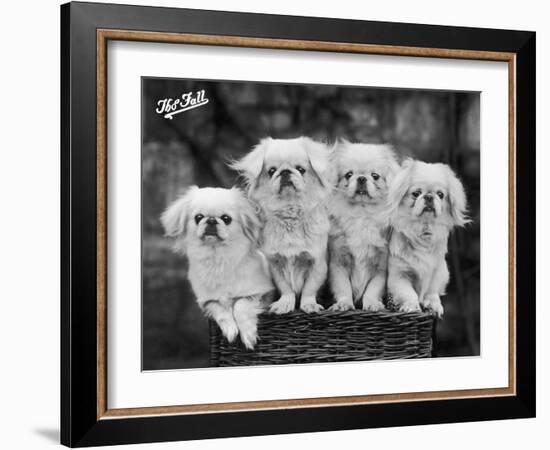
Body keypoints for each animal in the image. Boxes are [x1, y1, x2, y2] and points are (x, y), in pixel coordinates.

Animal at [163, 185, 276, 348]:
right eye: (198, 217)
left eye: (226, 219)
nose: (211, 220)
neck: (217, 258)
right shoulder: (207, 301)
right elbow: (220, 310)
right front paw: (230, 329)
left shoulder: (262, 293)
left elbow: (240, 305)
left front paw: (248, 335)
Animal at [230, 135, 332, 314]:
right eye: (271, 171)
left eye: (300, 169)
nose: (285, 172)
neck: (290, 211)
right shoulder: (275, 263)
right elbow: (286, 288)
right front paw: (285, 304)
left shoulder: (317, 263)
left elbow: (309, 288)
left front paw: (309, 305)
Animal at [328, 142, 402, 312]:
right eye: (349, 175)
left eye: (375, 176)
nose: (361, 178)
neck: (362, 214)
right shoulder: (338, 263)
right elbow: (343, 288)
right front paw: (344, 304)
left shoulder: (381, 268)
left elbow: (372, 289)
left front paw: (372, 304)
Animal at [386, 158, 472, 316]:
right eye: (416, 193)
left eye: (440, 194)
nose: (429, 196)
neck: (423, 228)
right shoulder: (399, 275)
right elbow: (408, 293)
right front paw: (411, 307)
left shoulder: (437, 270)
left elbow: (431, 292)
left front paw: (433, 305)